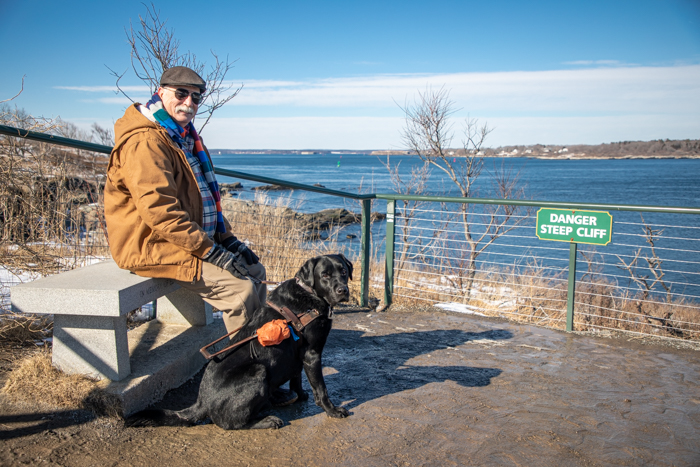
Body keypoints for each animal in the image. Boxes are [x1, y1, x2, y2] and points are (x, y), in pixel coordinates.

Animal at [126, 256, 352, 432]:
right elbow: (320, 388)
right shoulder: (312, 354)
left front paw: (300, 396)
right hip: (258, 371)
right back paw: (267, 420)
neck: (310, 294)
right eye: (324, 275)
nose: (343, 290)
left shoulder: (297, 356)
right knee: (231, 423)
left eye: (343, 271)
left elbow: (297, 380)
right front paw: (332, 410)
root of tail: (201, 402)